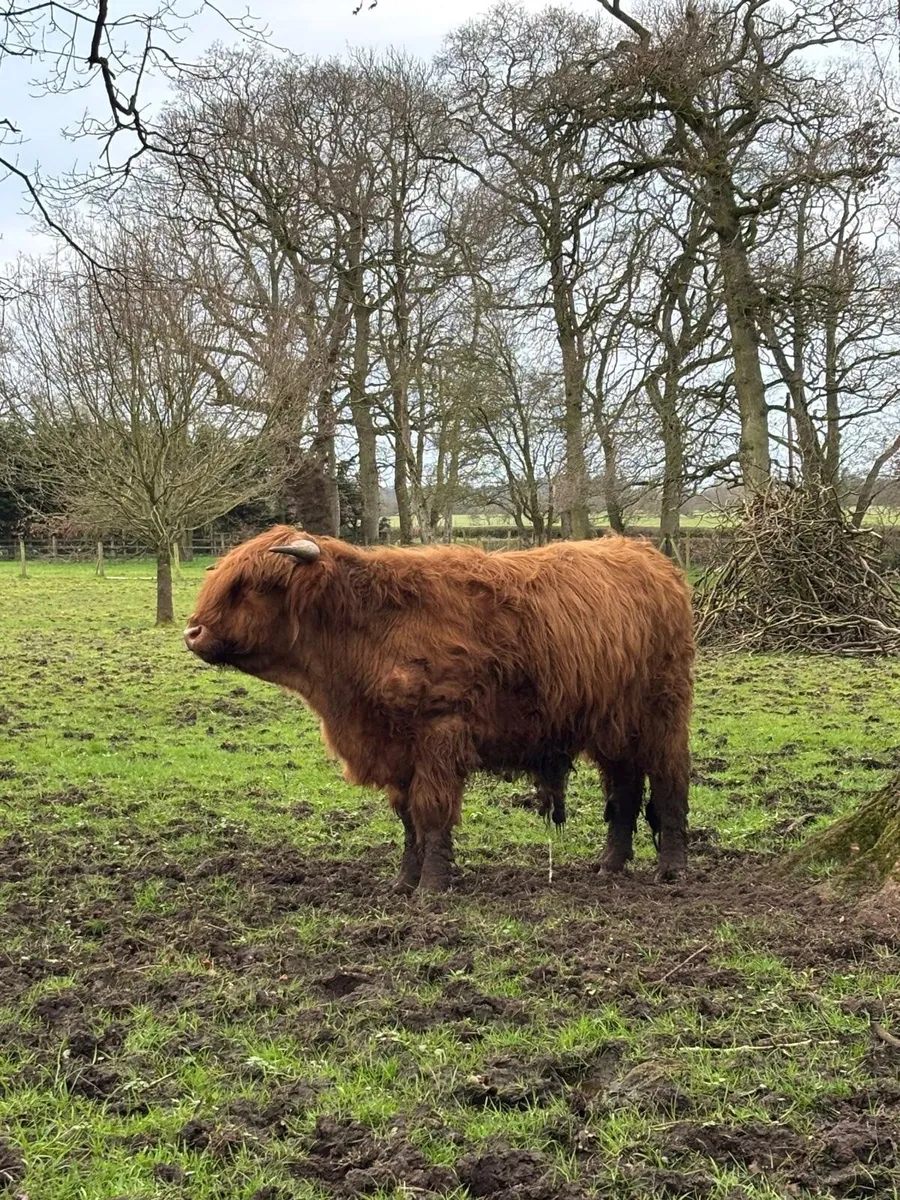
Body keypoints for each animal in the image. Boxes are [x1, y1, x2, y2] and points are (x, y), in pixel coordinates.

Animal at [184, 526, 694, 893]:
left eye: (256, 585)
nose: (192, 631)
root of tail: (649, 556)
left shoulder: (438, 734)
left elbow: (431, 812)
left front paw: (431, 887)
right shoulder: (394, 749)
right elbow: (407, 818)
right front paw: (403, 881)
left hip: (663, 713)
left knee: (669, 782)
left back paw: (670, 869)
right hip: (614, 726)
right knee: (625, 789)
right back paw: (610, 866)